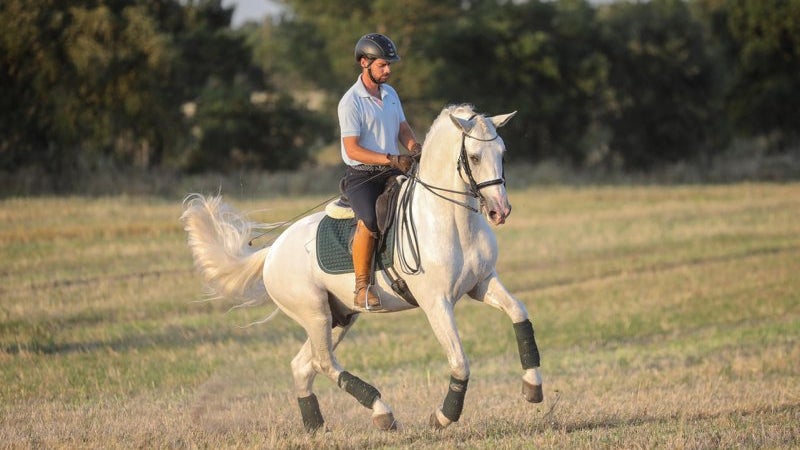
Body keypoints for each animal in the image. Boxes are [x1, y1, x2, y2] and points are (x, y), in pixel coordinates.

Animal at [181, 103, 544, 430]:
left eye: (502, 152)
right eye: (475, 157)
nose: (500, 211)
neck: (449, 220)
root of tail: (272, 253)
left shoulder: (482, 283)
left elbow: (519, 313)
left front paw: (533, 387)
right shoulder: (436, 303)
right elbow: (460, 362)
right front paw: (443, 416)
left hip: (338, 317)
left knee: (303, 365)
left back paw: (315, 426)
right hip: (314, 313)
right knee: (324, 363)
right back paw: (382, 412)